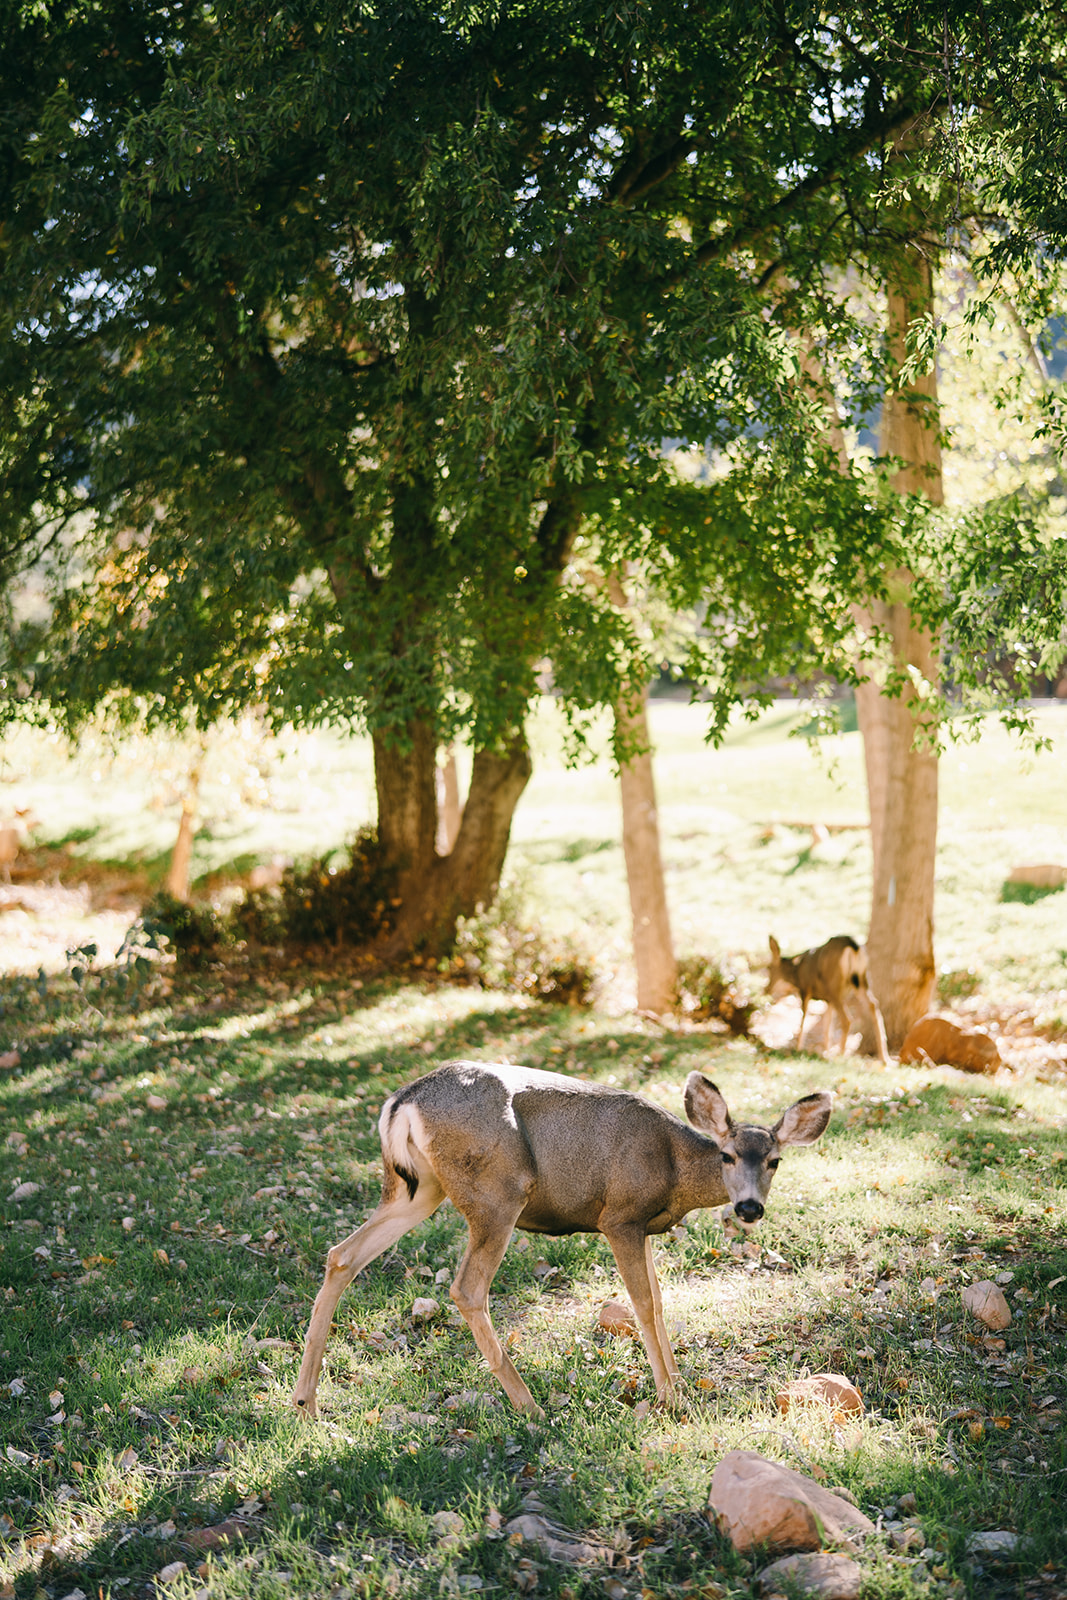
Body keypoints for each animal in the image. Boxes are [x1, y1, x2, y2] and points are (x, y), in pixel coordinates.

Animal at [292, 1062, 831, 1414]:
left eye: (775, 1160)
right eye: (727, 1156)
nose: (749, 1207)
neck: (674, 1168)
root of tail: (400, 1102)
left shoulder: (642, 1227)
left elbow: (659, 1300)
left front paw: (679, 1385)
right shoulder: (620, 1216)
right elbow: (642, 1304)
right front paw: (670, 1396)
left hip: (418, 1188)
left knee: (342, 1255)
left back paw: (306, 1402)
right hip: (497, 1192)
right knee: (467, 1288)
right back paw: (529, 1406)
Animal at [767, 934, 895, 1062]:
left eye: (768, 968)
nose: (766, 989)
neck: (797, 974)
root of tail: (853, 946)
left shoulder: (806, 991)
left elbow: (803, 1021)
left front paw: (798, 1049)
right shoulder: (827, 1000)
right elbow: (827, 1028)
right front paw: (826, 1053)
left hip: (834, 987)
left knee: (847, 1019)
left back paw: (841, 1056)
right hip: (862, 981)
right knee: (874, 1005)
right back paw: (885, 1058)